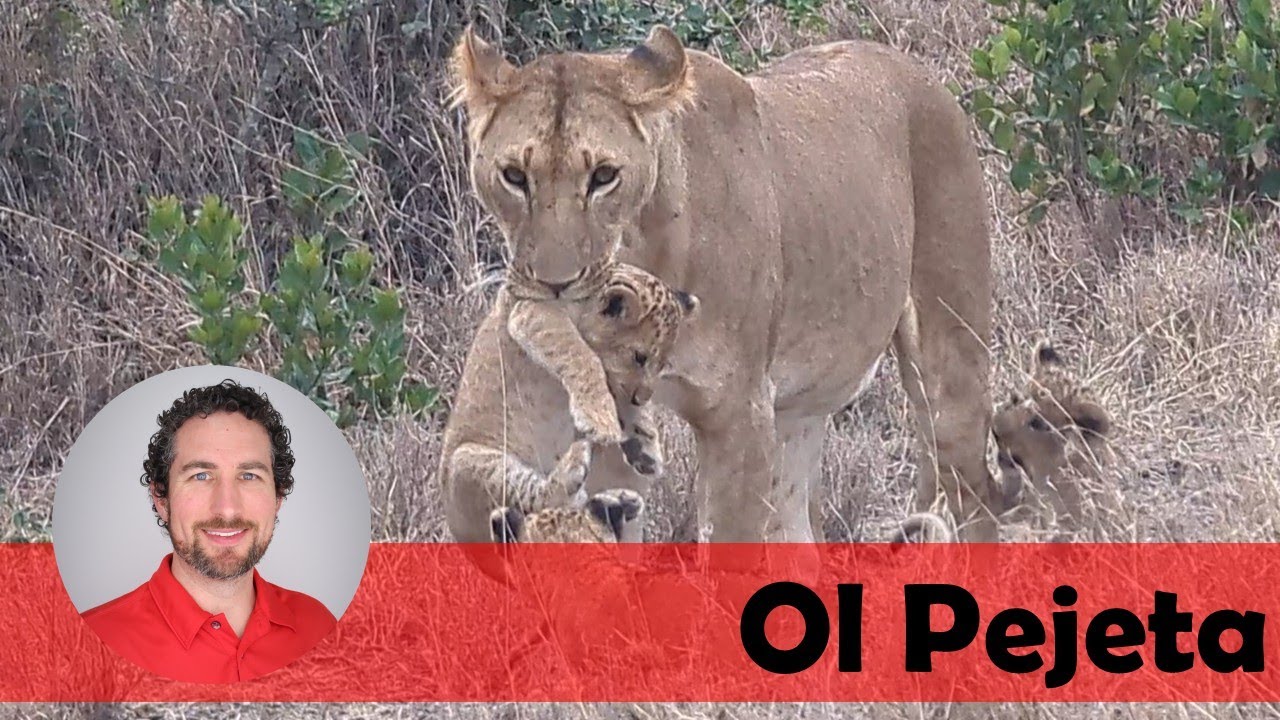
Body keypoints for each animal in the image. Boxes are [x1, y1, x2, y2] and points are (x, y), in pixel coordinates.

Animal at [448, 23, 1000, 544]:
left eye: (604, 176)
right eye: (514, 176)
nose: (554, 285)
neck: (643, 250)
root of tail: (916, 71)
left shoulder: (740, 411)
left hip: (950, 366)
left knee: (977, 497)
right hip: (797, 416)